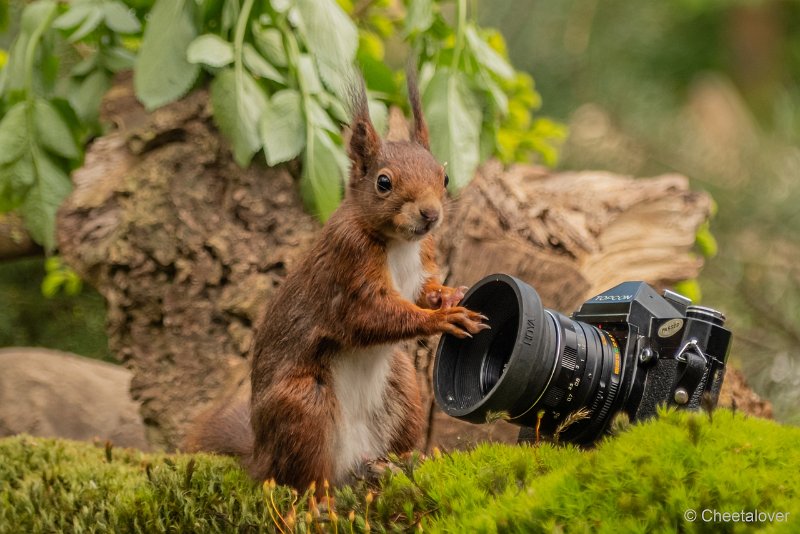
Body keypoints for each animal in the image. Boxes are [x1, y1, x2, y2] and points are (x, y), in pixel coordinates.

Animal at [188, 71, 488, 494]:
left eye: (443, 176)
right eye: (383, 183)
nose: (431, 214)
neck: (399, 245)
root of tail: (260, 457)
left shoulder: (422, 260)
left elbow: (422, 292)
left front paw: (448, 295)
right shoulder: (349, 270)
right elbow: (370, 316)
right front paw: (443, 319)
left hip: (403, 390)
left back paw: (401, 462)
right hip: (305, 405)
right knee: (302, 481)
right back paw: (323, 497)